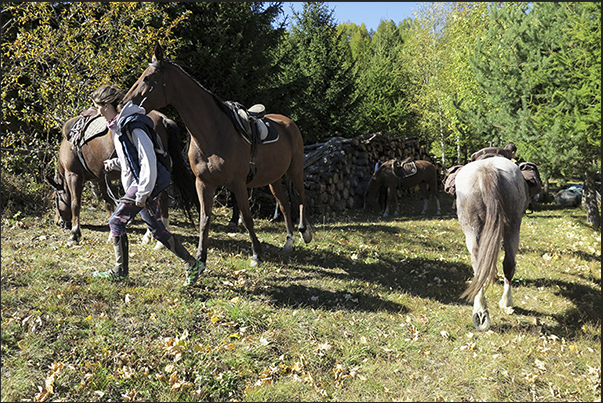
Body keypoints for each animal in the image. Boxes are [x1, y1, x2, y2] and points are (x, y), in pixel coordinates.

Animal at [46, 111, 196, 249]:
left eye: (54, 199)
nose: (57, 222)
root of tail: (162, 118)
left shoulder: (73, 175)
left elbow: (75, 204)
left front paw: (74, 235)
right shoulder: (101, 178)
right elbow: (108, 204)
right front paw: (112, 234)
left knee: (159, 200)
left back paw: (156, 240)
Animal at [121, 45, 314, 272]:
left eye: (148, 78)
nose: (123, 103)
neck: (214, 132)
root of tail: (288, 123)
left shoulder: (238, 183)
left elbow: (247, 219)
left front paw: (256, 255)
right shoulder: (204, 183)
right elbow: (205, 220)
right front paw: (200, 258)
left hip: (295, 169)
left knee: (301, 198)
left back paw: (305, 232)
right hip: (273, 178)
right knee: (284, 204)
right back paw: (289, 242)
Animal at [458, 157, 528, 332]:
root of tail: (486, 170)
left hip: (472, 230)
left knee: (479, 264)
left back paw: (483, 310)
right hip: (513, 224)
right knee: (508, 263)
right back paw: (504, 304)